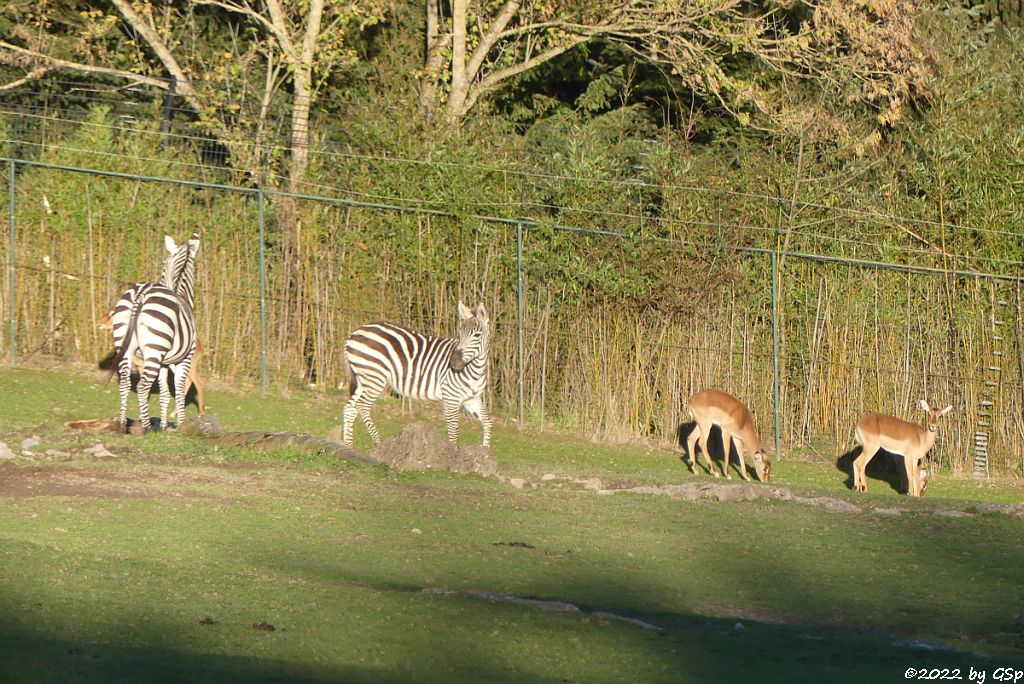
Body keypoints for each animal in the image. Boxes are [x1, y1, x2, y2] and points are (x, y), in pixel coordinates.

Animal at [112, 232, 199, 430]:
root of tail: (142, 292)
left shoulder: (164, 363)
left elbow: (165, 393)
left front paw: (165, 425)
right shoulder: (186, 357)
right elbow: (179, 389)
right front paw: (181, 425)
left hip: (125, 347)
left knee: (125, 382)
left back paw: (122, 423)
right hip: (154, 350)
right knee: (143, 386)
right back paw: (146, 427)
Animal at [342, 301, 493, 446]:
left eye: (477, 335)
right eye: (460, 334)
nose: (454, 362)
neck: (476, 370)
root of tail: (354, 332)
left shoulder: (471, 399)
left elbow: (488, 423)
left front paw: (485, 450)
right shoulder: (451, 398)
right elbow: (453, 432)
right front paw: (452, 452)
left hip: (363, 379)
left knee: (350, 408)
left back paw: (348, 446)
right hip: (374, 377)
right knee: (362, 406)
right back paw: (378, 443)